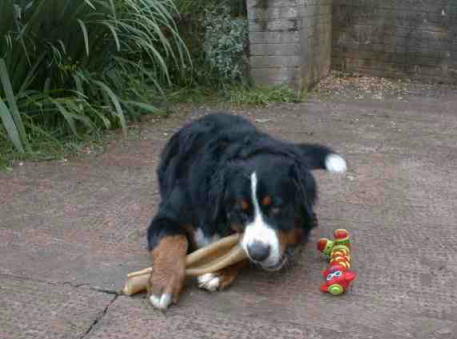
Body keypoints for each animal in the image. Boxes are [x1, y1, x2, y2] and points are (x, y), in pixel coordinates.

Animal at [146, 113, 346, 310]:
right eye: (240, 211)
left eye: (276, 207)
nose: (259, 253)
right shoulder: (169, 215)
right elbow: (172, 242)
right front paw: (162, 285)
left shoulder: (302, 223)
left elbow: (237, 250)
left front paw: (218, 272)